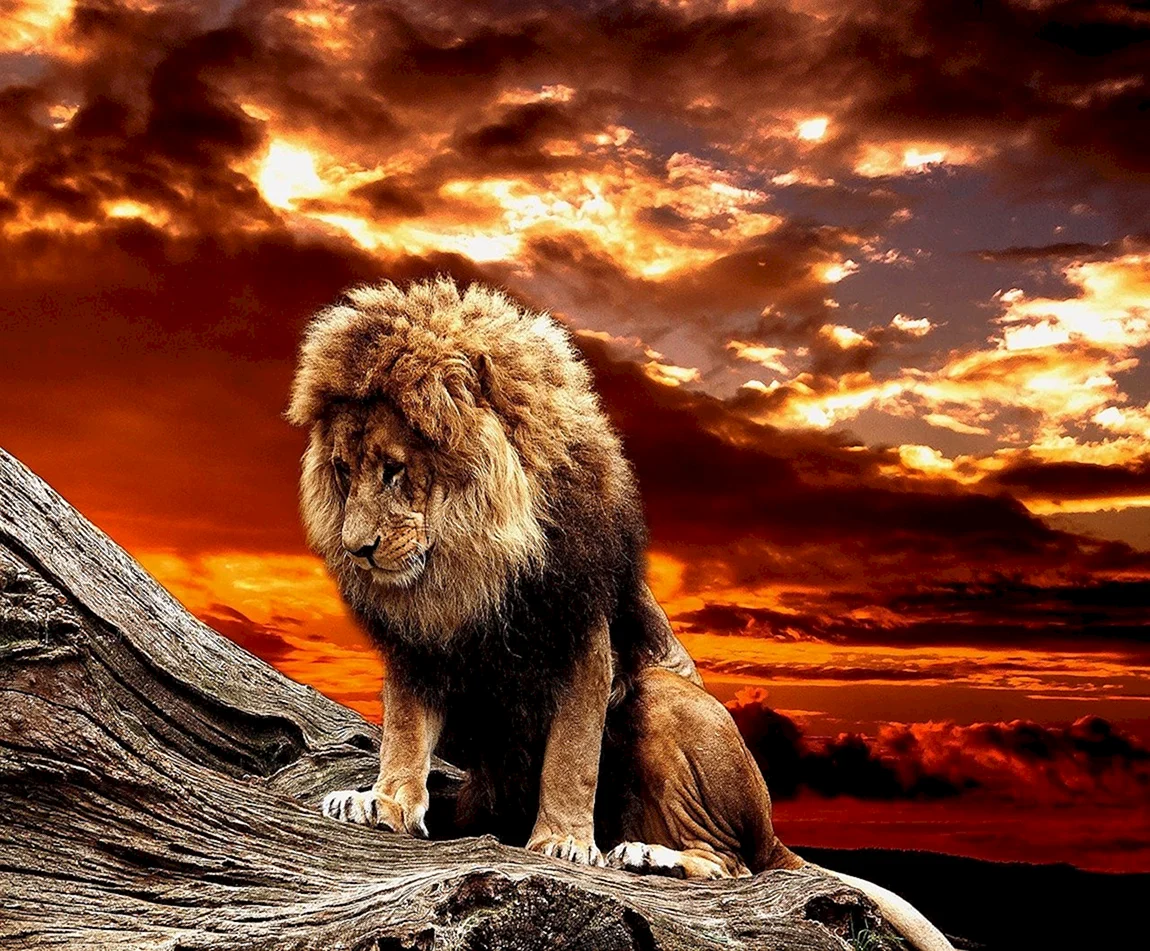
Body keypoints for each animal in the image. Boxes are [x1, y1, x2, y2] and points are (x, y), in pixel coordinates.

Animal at [287, 277, 954, 951]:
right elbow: (405, 728)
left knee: (733, 865)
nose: (356, 549)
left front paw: (560, 841)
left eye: (395, 470)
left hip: (659, 700)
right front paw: (385, 802)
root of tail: (773, 831)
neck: (471, 563)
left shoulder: (584, 631)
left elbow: (573, 752)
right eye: (342, 472)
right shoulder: (420, 646)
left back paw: (644, 855)